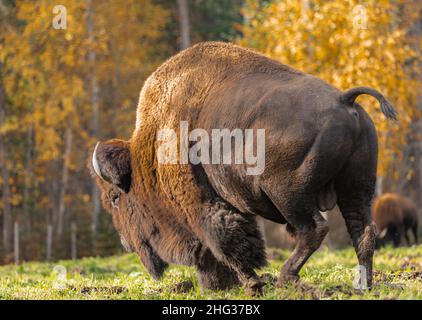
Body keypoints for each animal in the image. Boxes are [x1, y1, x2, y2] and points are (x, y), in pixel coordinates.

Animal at [89, 41, 396, 294]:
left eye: (115, 198)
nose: (125, 243)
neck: (151, 148)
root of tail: (343, 99)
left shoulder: (202, 205)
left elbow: (226, 244)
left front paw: (251, 284)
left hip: (287, 193)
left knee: (313, 229)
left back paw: (286, 279)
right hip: (356, 187)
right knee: (362, 231)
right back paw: (363, 285)